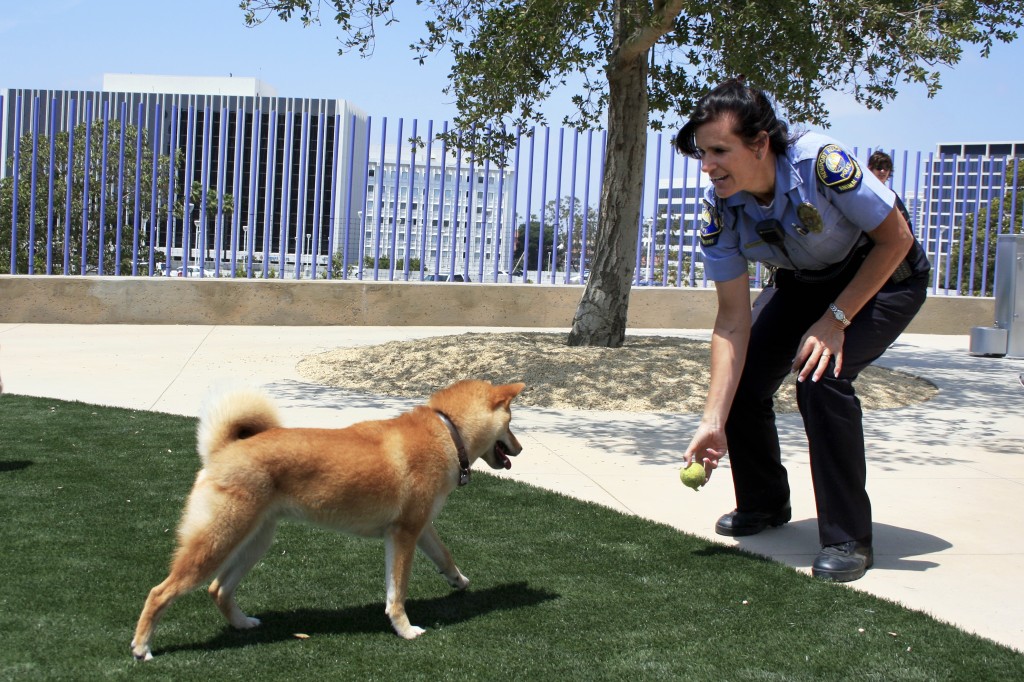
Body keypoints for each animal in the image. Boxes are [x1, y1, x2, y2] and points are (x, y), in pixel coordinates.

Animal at [131, 376, 524, 659]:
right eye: (512, 424)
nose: (520, 448)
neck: (447, 431)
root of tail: (223, 450)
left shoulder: (418, 528)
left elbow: (445, 556)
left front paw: (459, 581)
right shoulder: (403, 535)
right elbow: (397, 593)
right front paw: (405, 629)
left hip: (255, 540)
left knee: (219, 589)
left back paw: (242, 624)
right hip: (217, 541)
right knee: (160, 591)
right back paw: (142, 648)